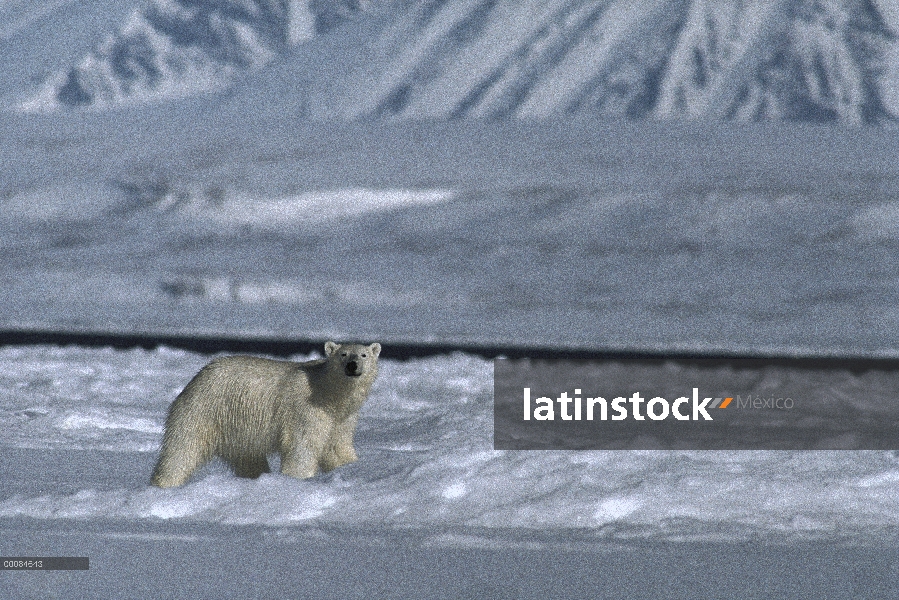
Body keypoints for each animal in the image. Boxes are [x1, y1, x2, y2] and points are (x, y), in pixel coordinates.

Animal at [153, 342, 378, 488]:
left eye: (363, 355)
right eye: (343, 354)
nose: (352, 365)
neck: (328, 393)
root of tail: (197, 377)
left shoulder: (342, 418)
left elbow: (336, 447)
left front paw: (351, 468)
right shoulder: (305, 411)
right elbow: (302, 447)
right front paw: (298, 478)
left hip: (237, 429)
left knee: (248, 459)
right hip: (204, 411)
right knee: (181, 451)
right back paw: (165, 484)